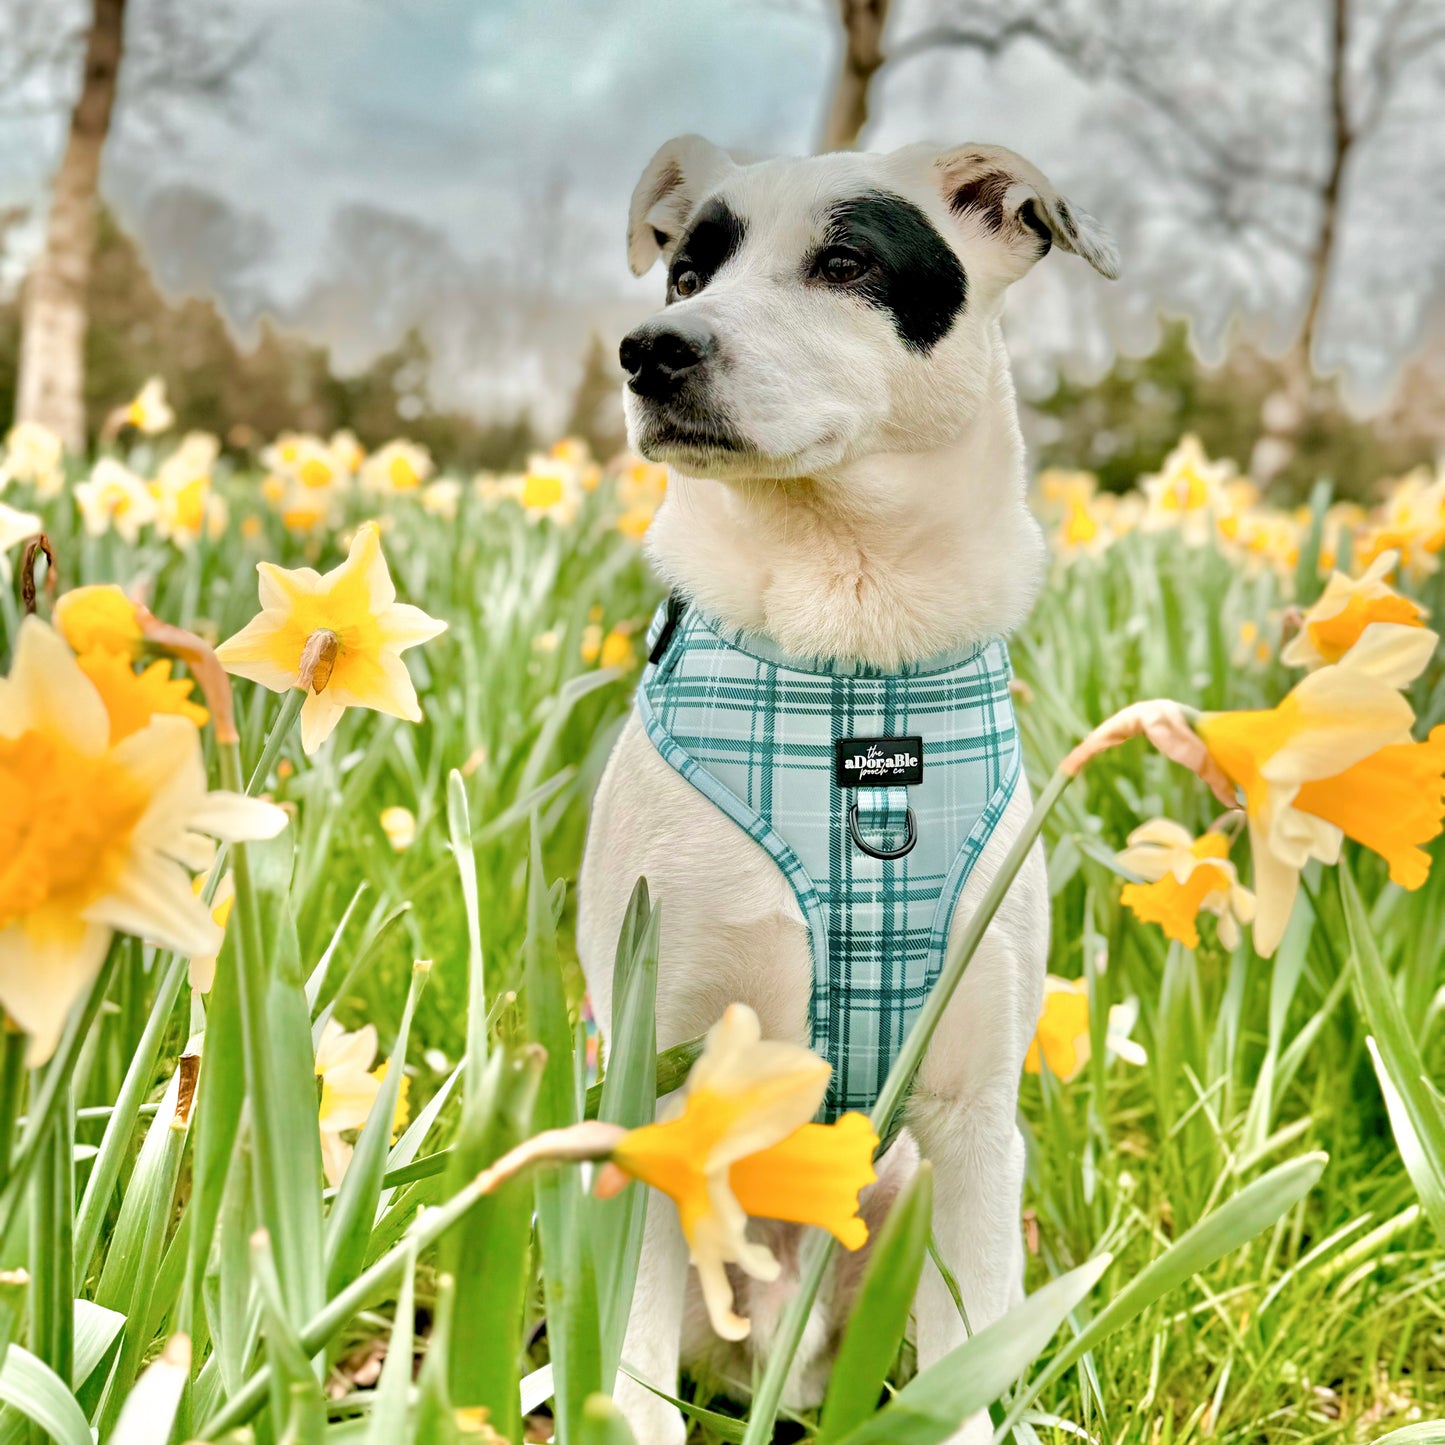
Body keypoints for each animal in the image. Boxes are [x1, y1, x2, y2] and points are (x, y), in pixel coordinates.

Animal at [575, 135, 1115, 1445]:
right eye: (686, 272)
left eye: (846, 263)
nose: (651, 348)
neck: (850, 667)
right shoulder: (659, 1075)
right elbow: (633, 1376)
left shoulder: (970, 1116)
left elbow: (965, 1364)